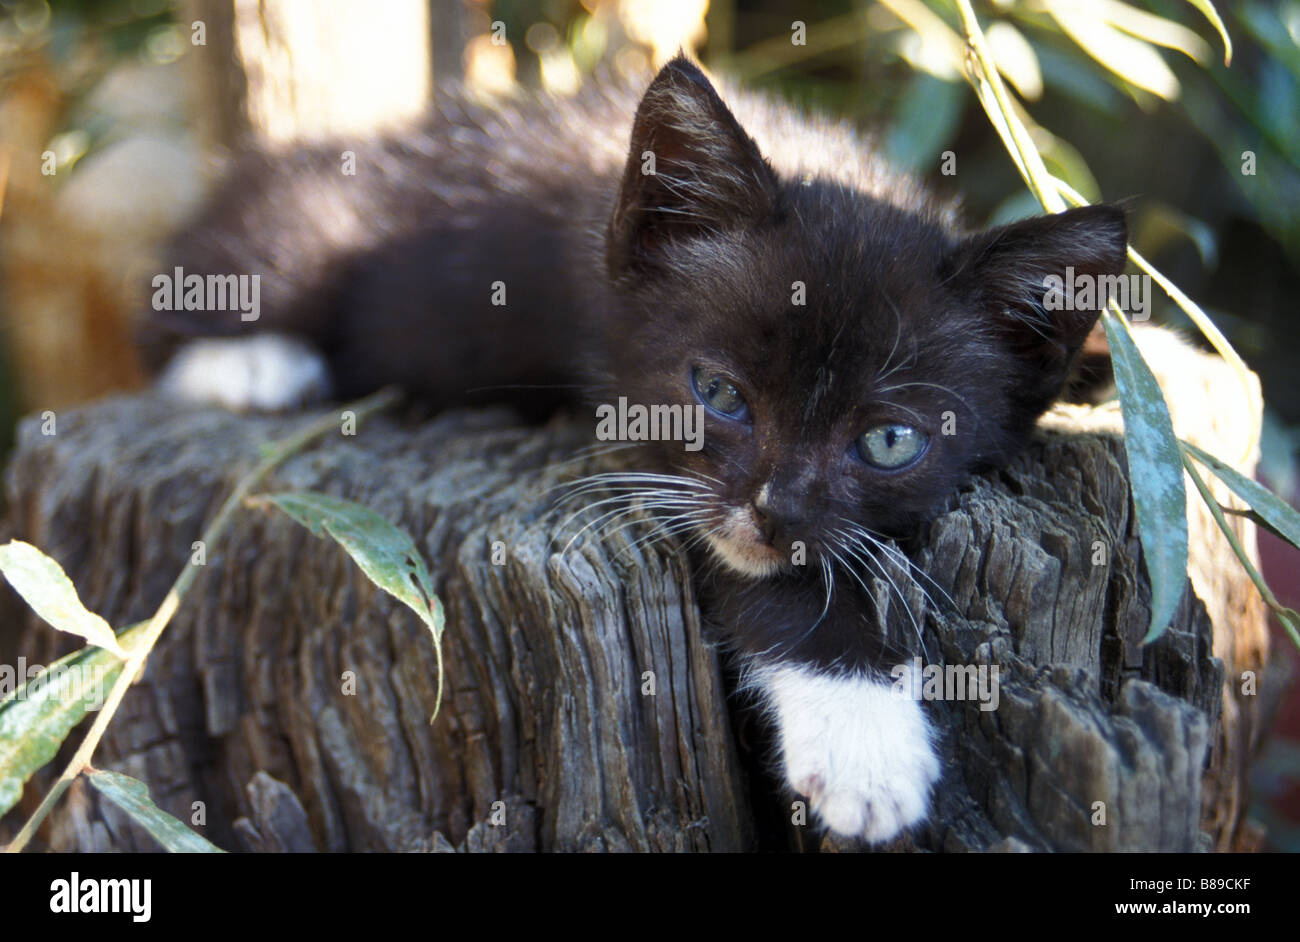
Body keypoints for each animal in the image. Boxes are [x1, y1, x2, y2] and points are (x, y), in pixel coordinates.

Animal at [137, 55, 1123, 841]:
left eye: (888, 441)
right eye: (718, 394)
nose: (774, 512)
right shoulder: (635, 428)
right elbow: (767, 578)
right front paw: (863, 741)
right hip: (314, 228)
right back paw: (251, 365)